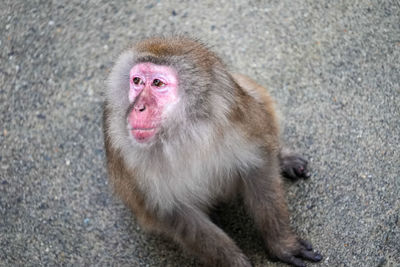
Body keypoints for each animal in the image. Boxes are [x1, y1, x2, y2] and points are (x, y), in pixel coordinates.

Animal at [102, 36, 322, 267]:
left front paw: (282, 243)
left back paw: (283, 157)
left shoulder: (235, 118)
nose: (138, 108)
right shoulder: (124, 152)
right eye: (136, 81)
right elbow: (179, 216)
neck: (182, 133)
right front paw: (237, 263)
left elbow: (259, 166)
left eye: (157, 83)